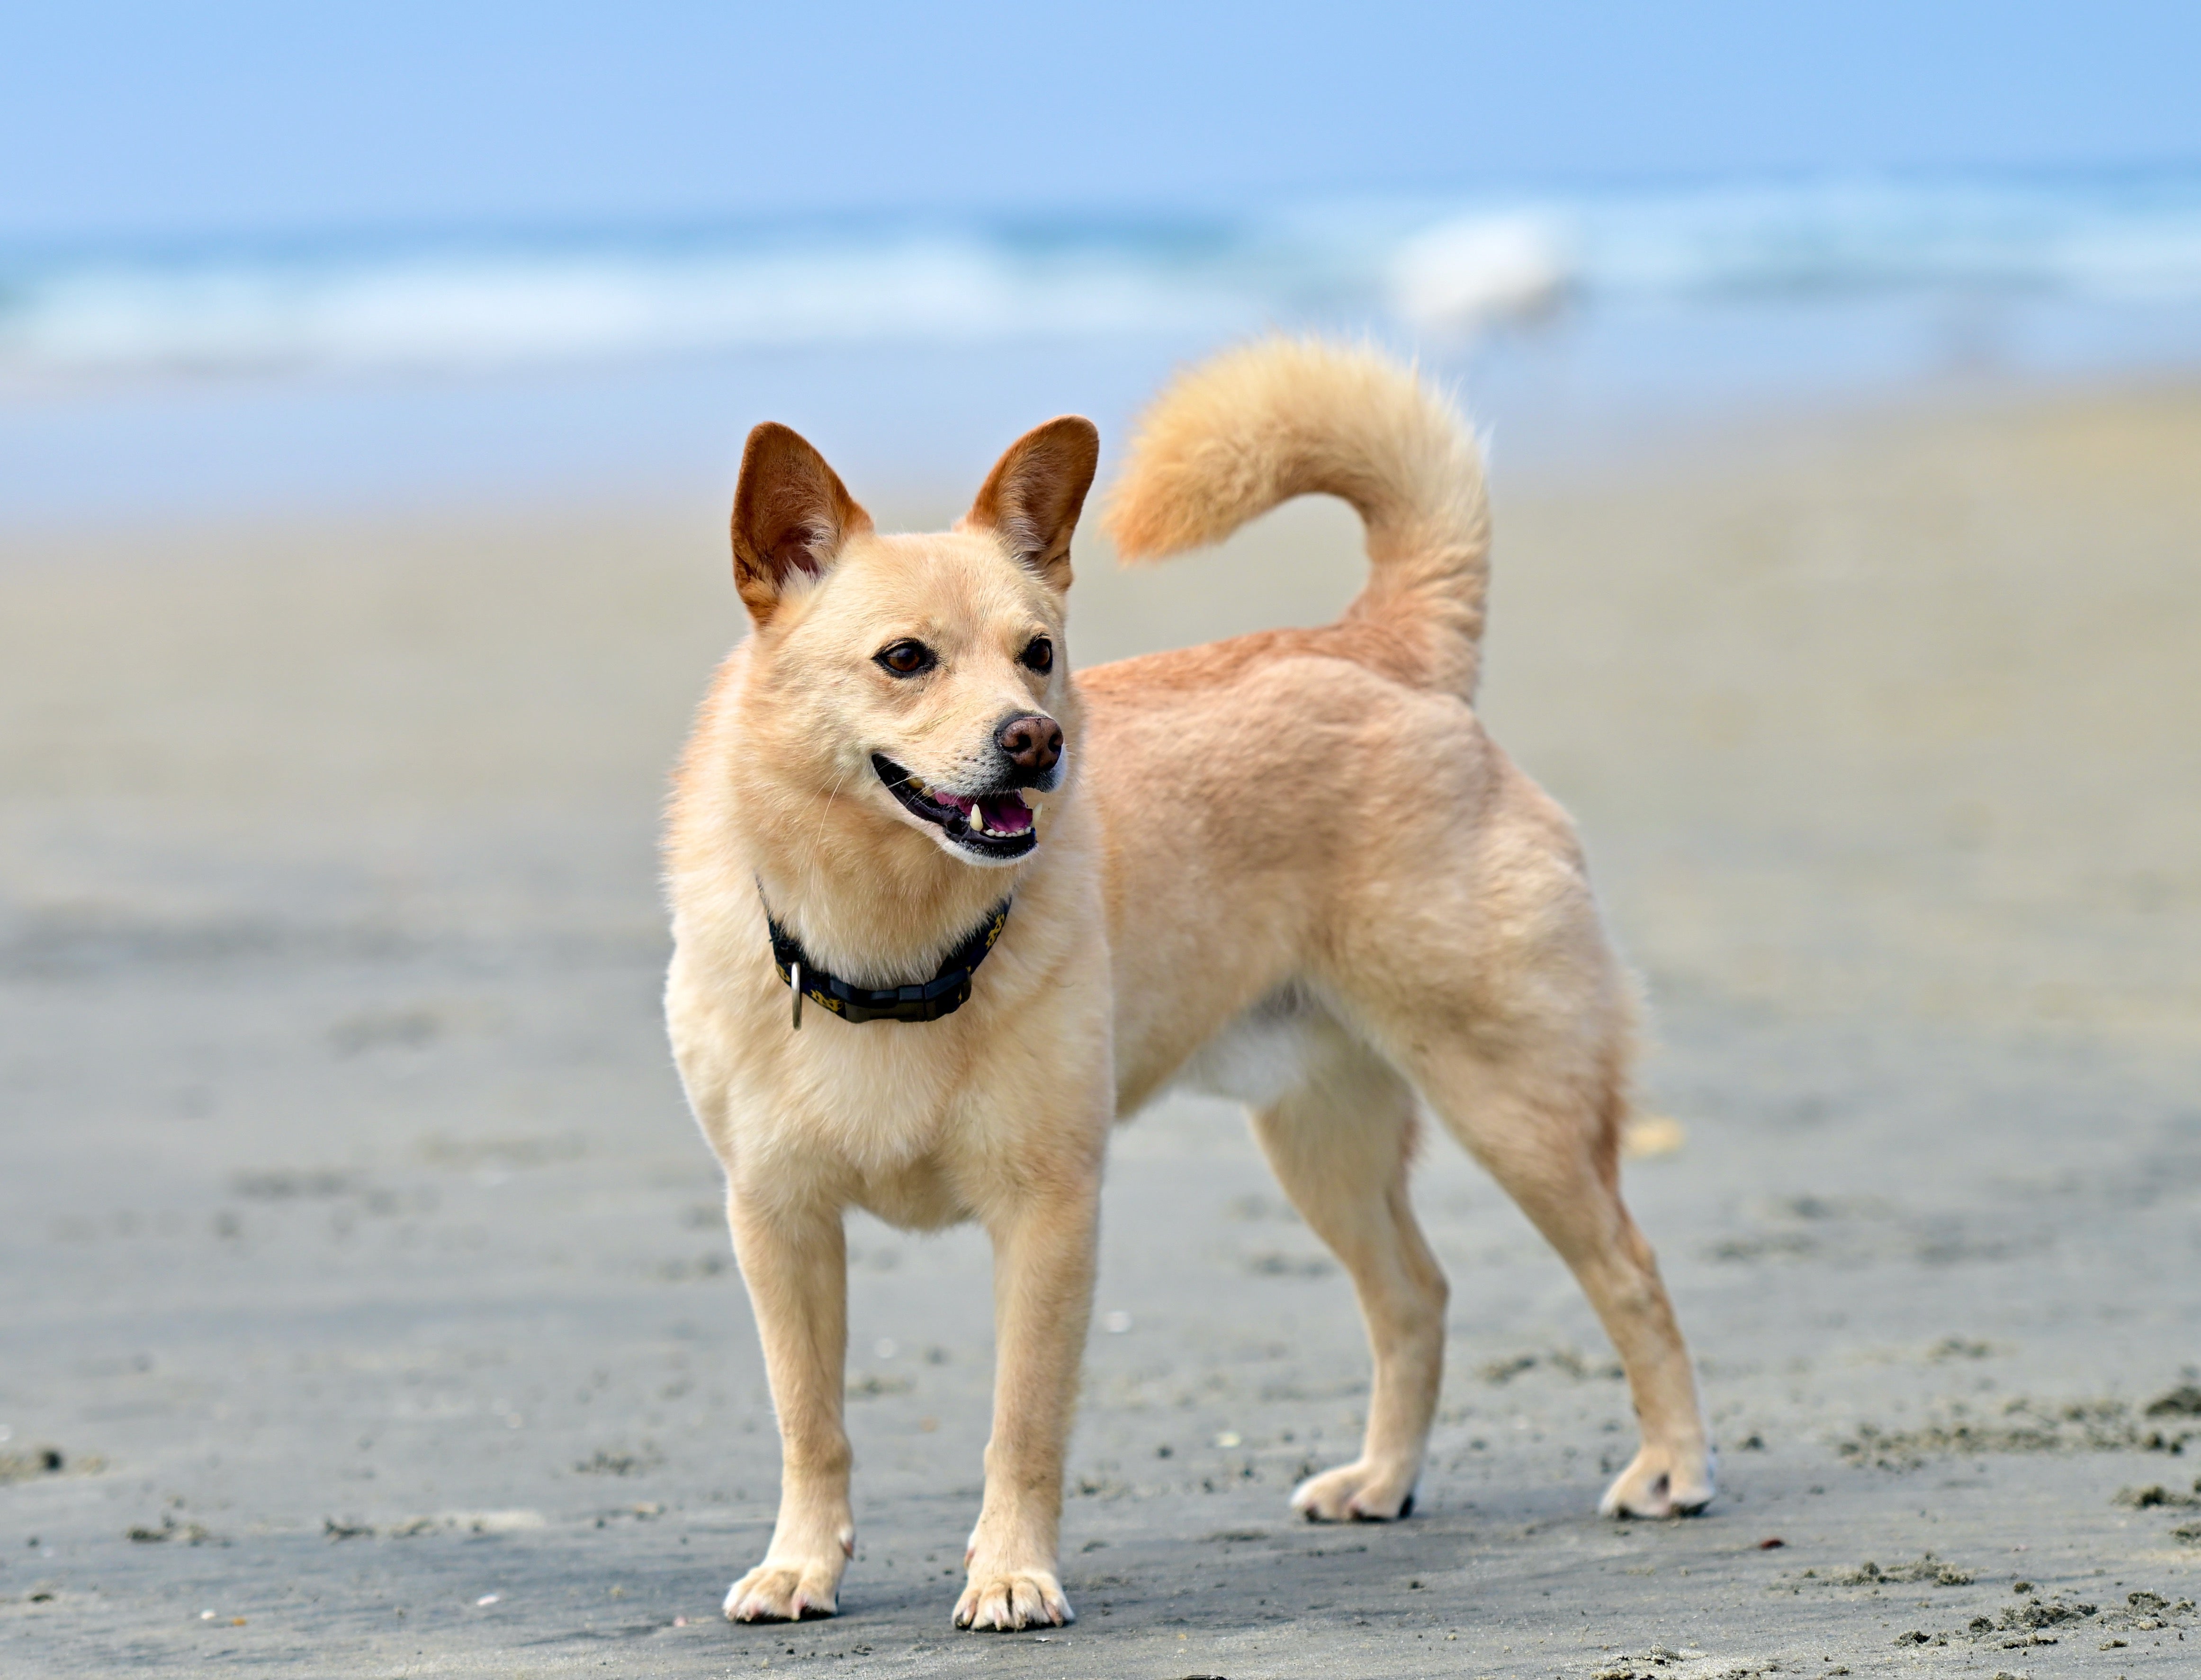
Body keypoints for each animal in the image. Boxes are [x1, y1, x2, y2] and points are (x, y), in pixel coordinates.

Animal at [660, 334, 1708, 1636]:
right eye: (903, 659)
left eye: (1038, 654)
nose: (1034, 740)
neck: (892, 942)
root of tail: (1379, 645)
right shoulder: (776, 1218)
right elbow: (811, 1420)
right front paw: (801, 1564)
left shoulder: (1049, 1214)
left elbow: (1022, 1422)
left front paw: (1011, 1572)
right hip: (1323, 1142)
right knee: (1414, 1293)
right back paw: (1382, 1478)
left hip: (1514, 1102)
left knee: (1629, 1272)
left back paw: (1671, 1466)